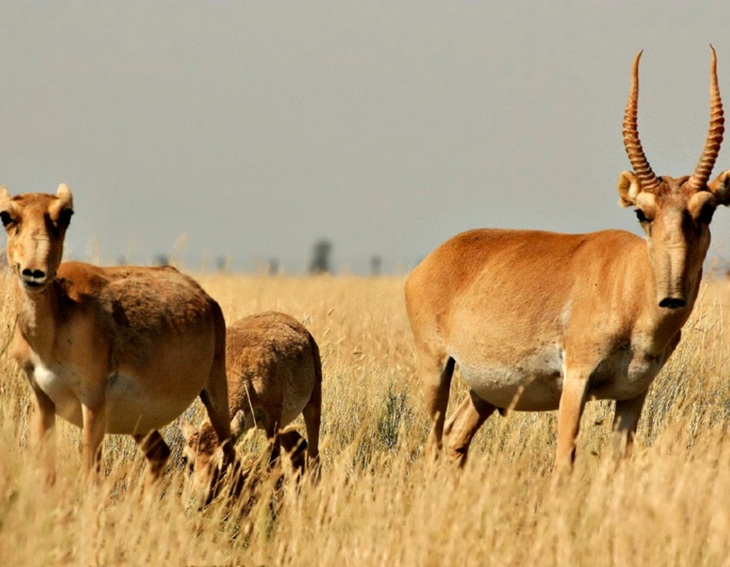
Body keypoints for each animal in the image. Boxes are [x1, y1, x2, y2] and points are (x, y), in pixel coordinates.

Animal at [0, 185, 233, 484]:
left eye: (65, 214)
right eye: (6, 215)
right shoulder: (43, 401)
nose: (34, 273)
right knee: (160, 454)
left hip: (216, 397)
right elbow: (47, 474)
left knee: (232, 457)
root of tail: (204, 297)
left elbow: (90, 473)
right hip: (140, 422)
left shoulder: (93, 403)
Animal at [181, 312, 320, 500]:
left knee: (314, 455)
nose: (200, 497)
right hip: (284, 425)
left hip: (312, 404)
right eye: (185, 458)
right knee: (298, 447)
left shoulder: (272, 420)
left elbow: (274, 468)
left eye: (222, 460)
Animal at [404, 50, 728, 474]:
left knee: (456, 436)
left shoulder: (633, 393)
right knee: (434, 441)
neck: (628, 283)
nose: (672, 297)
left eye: (707, 210)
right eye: (642, 212)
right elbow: (564, 461)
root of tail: (433, 261)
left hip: (483, 392)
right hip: (436, 369)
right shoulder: (576, 381)